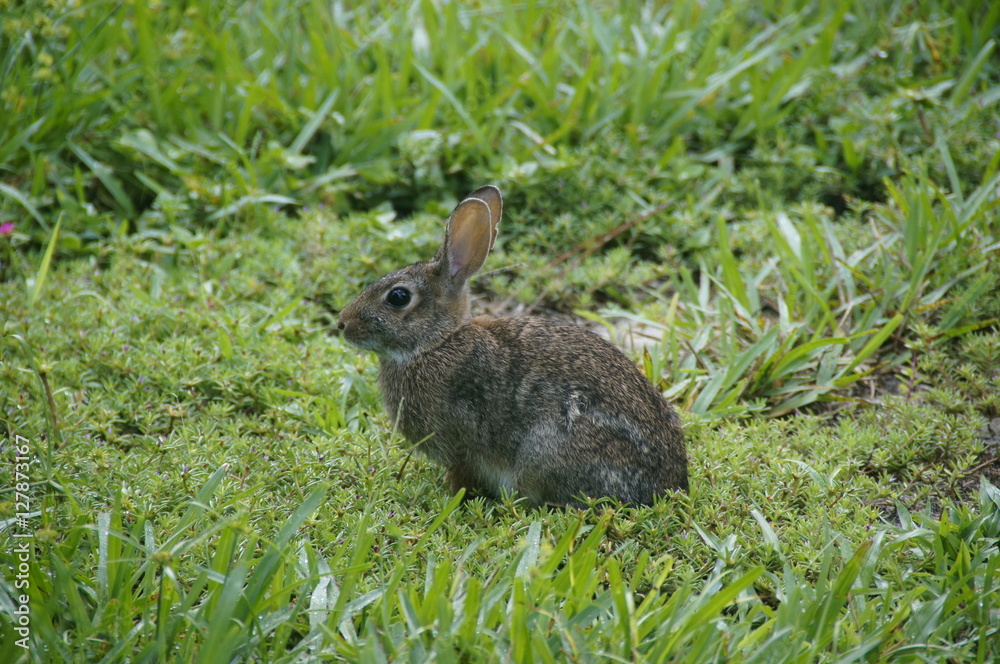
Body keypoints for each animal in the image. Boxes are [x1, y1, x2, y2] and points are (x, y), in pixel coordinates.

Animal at [337, 185, 688, 507]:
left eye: (398, 297)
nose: (342, 324)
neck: (436, 343)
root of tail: (669, 487)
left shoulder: (461, 446)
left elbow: (461, 477)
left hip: (546, 449)